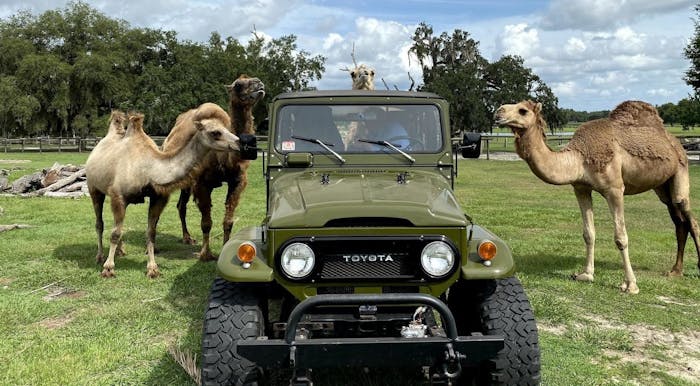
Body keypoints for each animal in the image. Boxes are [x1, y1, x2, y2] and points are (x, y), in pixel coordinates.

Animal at [85, 102, 241, 278]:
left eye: (227, 128)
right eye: (215, 132)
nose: (239, 142)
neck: (150, 168)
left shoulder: (158, 197)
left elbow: (150, 232)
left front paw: (153, 268)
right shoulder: (118, 196)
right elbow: (115, 233)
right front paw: (108, 268)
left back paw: (121, 251)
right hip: (94, 188)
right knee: (100, 223)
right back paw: (99, 257)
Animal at [162, 74, 266, 260]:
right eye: (238, 85)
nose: (259, 84)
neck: (224, 158)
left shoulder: (237, 181)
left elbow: (228, 221)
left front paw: (225, 247)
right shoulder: (201, 183)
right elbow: (206, 223)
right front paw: (205, 254)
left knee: (181, 205)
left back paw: (187, 238)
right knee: (180, 205)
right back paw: (186, 238)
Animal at [492, 99, 700, 292]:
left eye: (522, 110)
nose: (498, 112)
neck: (579, 158)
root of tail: (677, 143)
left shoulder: (615, 189)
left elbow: (620, 237)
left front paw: (630, 285)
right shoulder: (581, 188)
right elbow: (588, 233)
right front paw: (586, 274)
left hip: (681, 171)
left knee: (690, 218)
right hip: (662, 187)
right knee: (679, 222)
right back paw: (675, 271)